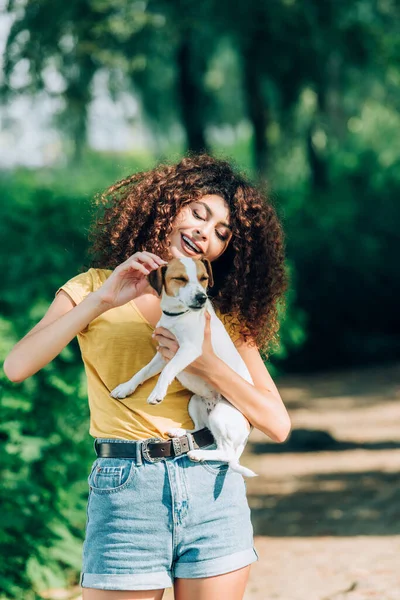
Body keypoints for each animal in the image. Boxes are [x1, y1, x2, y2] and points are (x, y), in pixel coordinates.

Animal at [110, 258, 256, 478]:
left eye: (204, 278)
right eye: (180, 279)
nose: (202, 297)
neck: (177, 316)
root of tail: (245, 438)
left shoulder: (189, 349)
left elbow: (168, 370)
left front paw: (157, 394)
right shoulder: (163, 354)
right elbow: (142, 372)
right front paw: (125, 388)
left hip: (221, 414)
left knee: (225, 453)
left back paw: (199, 454)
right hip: (195, 402)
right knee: (201, 428)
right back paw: (180, 432)